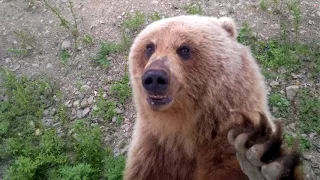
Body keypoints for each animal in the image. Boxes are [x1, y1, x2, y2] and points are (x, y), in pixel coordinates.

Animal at [124, 15, 304, 180]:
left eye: (184, 49)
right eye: (149, 47)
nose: (154, 77)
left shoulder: (227, 135)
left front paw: (258, 161)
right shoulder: (153, 150)